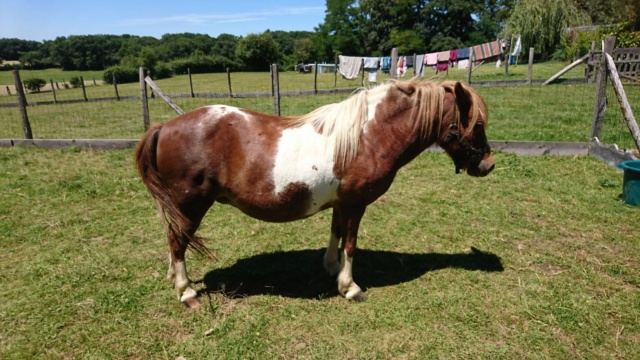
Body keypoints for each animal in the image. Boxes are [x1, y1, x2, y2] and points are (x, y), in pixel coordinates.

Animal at [136, 79, 496, 306]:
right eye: (476, 124)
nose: (488, 165)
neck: (369, 136)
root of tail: (164, 127)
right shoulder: (356, 204)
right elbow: (351, 243)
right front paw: (350, 287)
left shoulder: (341, 203)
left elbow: (336, 234)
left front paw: (332, 269)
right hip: (191, 205)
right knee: (177, 242)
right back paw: (186, 292)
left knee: (174, 239)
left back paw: (174, 278)